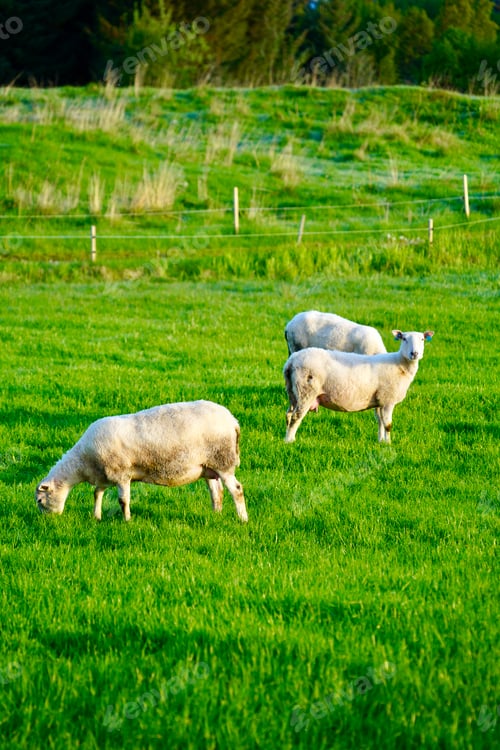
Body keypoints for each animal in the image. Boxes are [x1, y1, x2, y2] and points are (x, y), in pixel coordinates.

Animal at [35, 400, 248, 523]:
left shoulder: (121, 473)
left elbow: (123, 500)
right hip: (208, 467)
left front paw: (127, 520)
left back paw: (242, 519)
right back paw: (216, 515)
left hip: (223, 461)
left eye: (39, 500)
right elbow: (97, 494)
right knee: (217, 492)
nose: (47, 521)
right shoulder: (105, 475)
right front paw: (97, 516)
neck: (83, 462)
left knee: (236, 490)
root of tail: (233, 421)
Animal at [284, 330, 434, 444]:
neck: (400, 365)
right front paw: (389, 444)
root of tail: (291, 361)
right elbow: (388, 424)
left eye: (422, 339)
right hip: (306, 391)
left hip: (292, 391)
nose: (414, 354)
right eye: (404, 339)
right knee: (296, 416)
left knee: (289, 414)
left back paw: (286, 438)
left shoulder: (379, 400)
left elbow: (380, 421)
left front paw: (381, 441)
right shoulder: (388, 399)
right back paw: (290, 441)